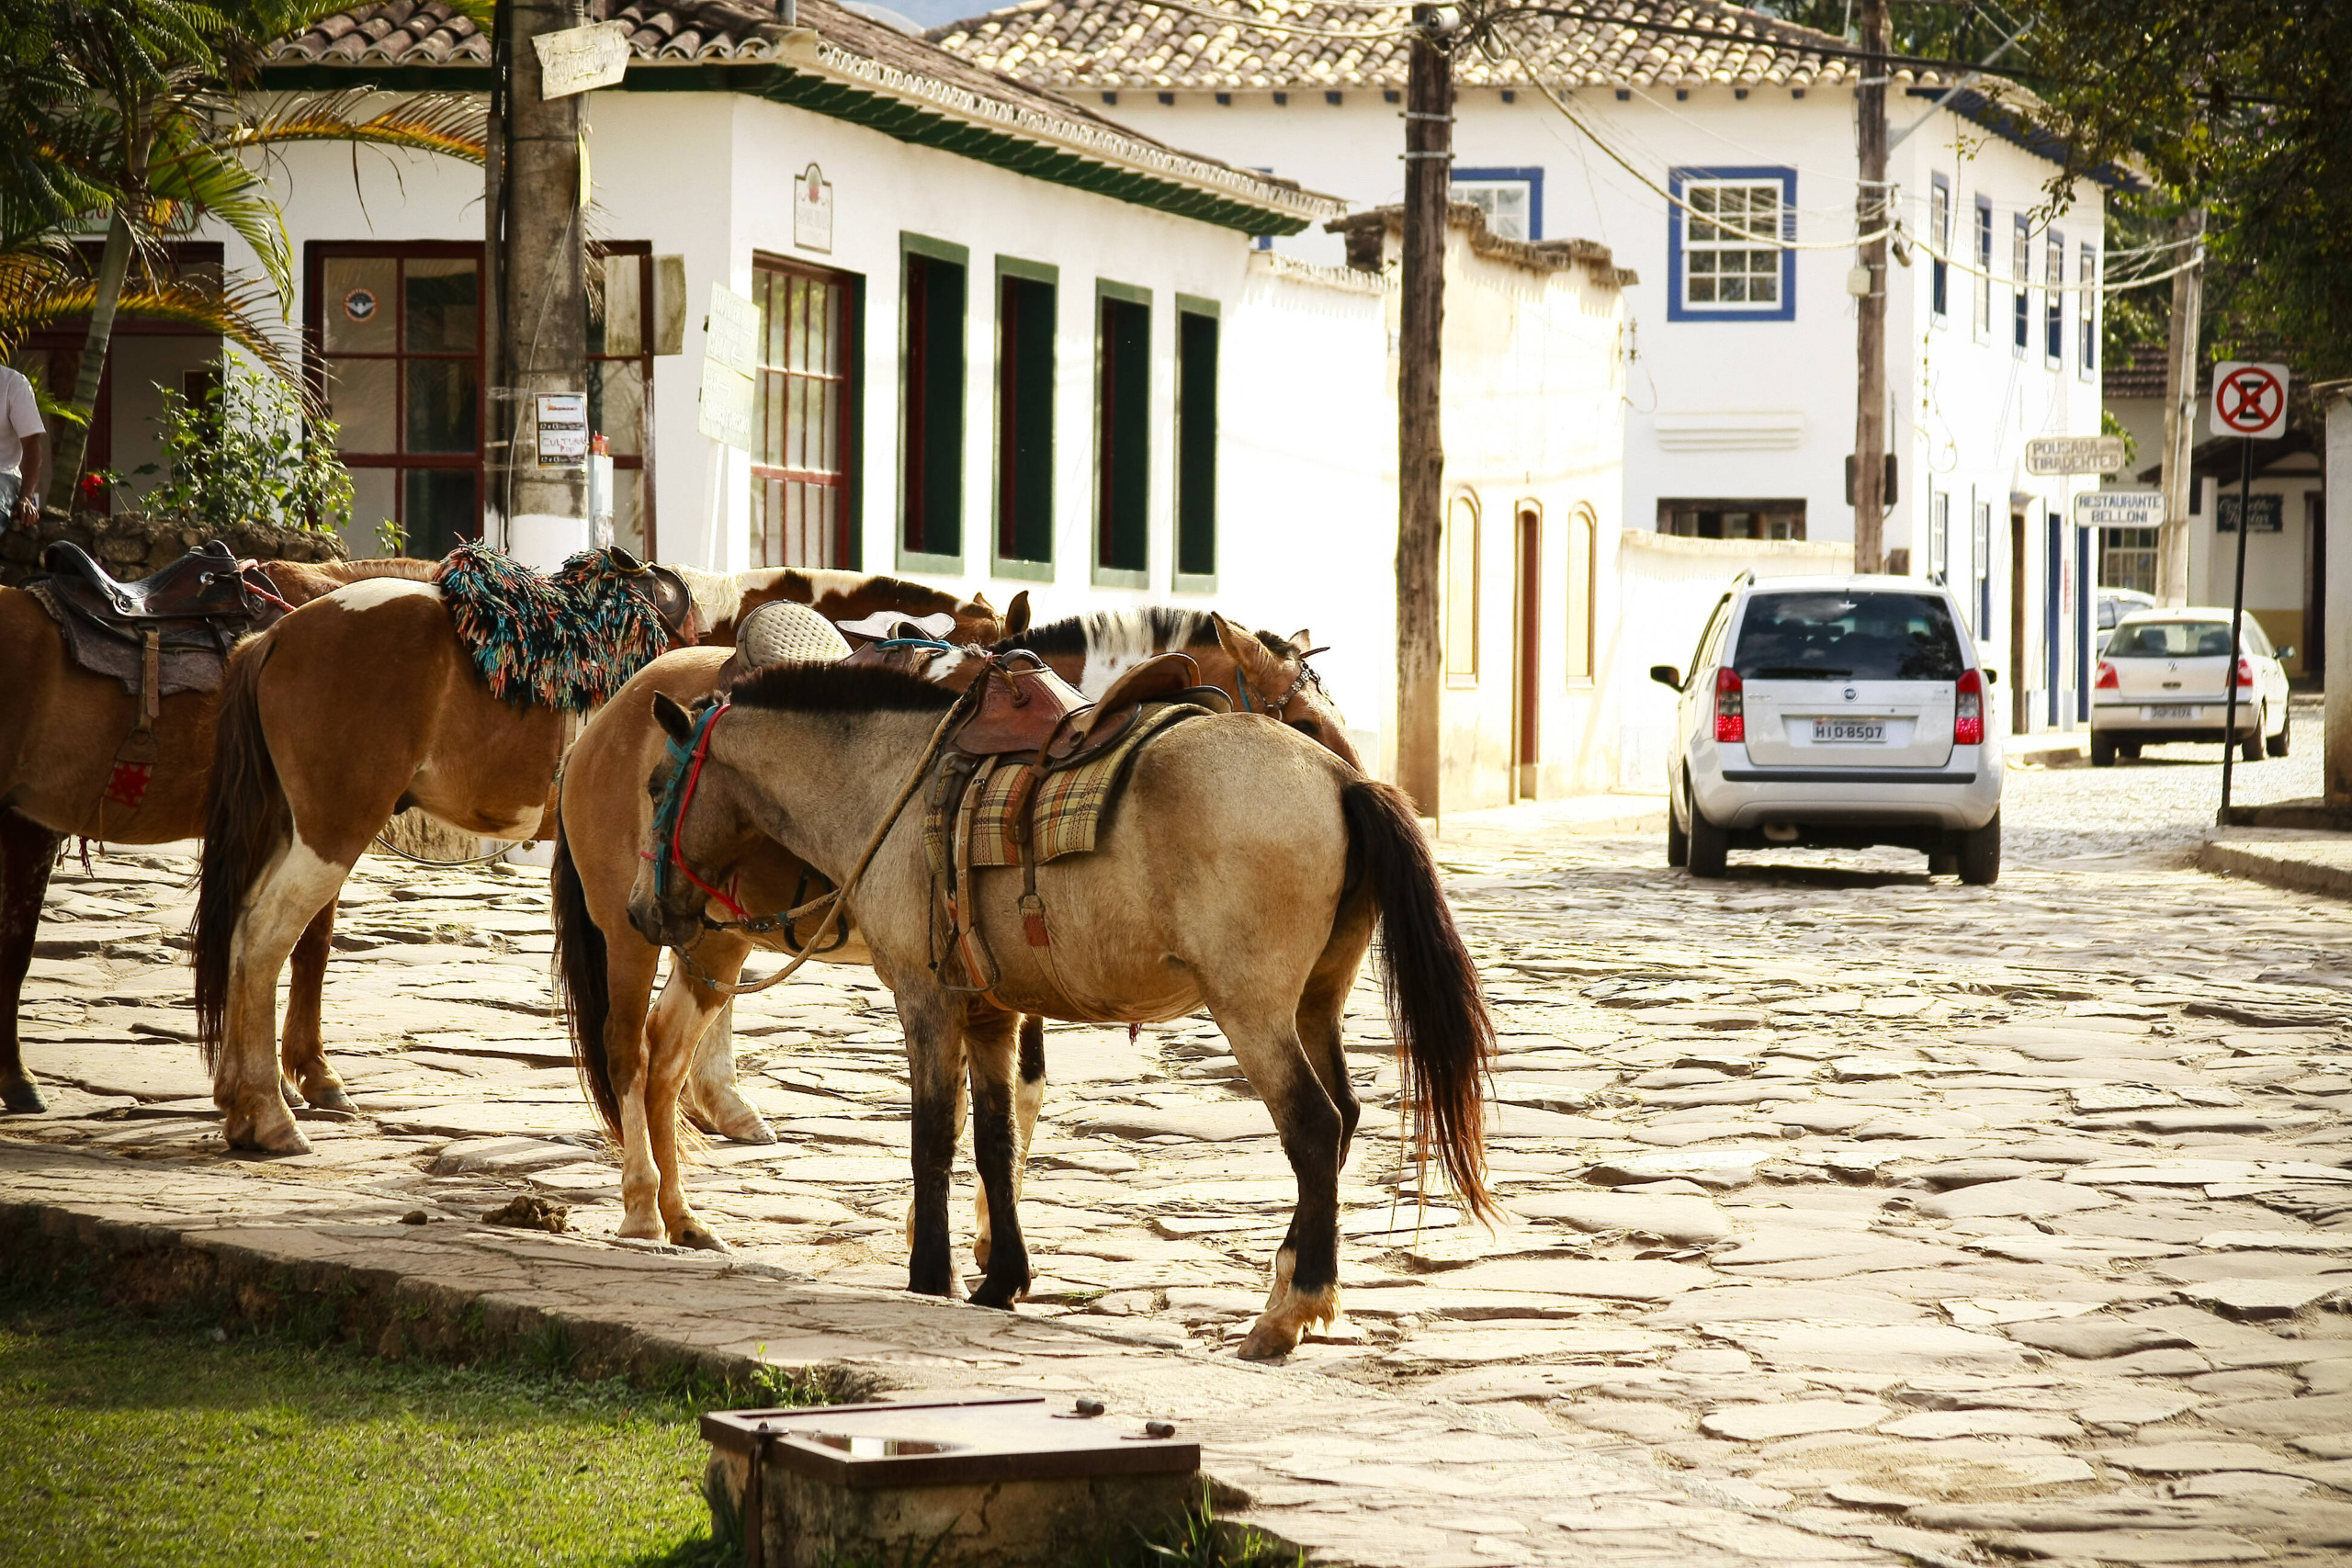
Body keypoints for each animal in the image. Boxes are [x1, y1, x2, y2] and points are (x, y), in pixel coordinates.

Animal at [190, 564, 1011, 1152]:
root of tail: (280, 635)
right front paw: (711, 1106)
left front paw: (718, 1104)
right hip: (331, 829)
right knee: (266, 936)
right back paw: (271, 1114)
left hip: (298, 827)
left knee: (248, 932)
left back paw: (249, 1099)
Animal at [548, 606, 1354, 1259]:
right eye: (1308, 722)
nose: (1356, 794)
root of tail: (612, 712)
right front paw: (961, 1238)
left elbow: (1015, 1096)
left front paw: (983, 1235)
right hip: (632, 933)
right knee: (627, 1050)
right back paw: (643, 1207)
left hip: (711, 935)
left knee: (666, 1054)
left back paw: (685, 1215)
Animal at [611, 662, 1486, 1363]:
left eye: (657, 788)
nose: (642, 912)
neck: (891, 784)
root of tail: (1340, 778)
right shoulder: (990, 1013)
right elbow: (995, 1143)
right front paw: (1001, 1278)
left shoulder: (924, 1000)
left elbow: (934, 1136)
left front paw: (930, 1274)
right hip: (1313, 1003)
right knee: (1342, 1119)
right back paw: (1292, 1288)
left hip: (1254, 1011)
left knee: (1312, 1126)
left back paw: (1288, 1313)